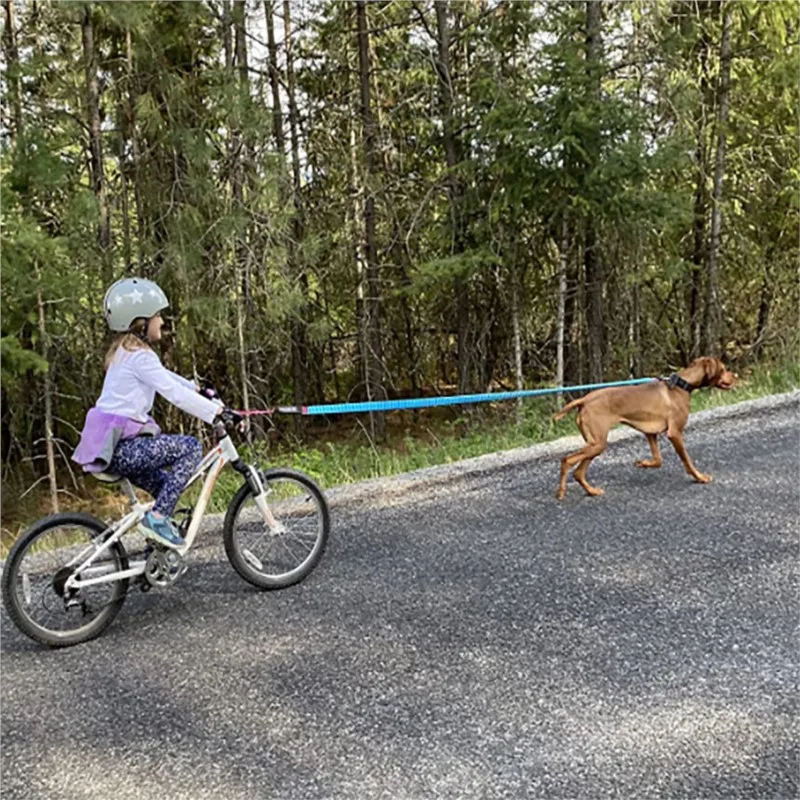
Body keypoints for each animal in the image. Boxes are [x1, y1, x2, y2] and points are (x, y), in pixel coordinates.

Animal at [552, 358, 736, 500]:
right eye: (723, 368)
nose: (735, 376)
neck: (681, 385)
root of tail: (584, 400)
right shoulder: (675, 433)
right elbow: (687, 460)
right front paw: (700, 477)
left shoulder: (650, 433)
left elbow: (658, 460)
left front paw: (643, 463)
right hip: (597, 443)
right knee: (566, 460)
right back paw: (561, 492)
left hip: (594, 444)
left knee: (578, 472)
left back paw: (592, 491)